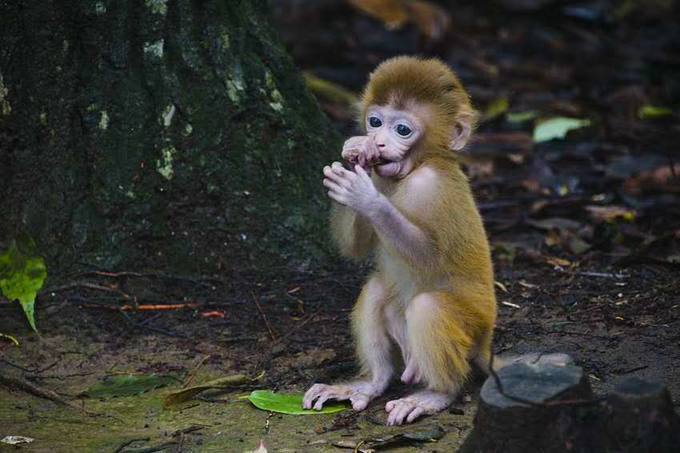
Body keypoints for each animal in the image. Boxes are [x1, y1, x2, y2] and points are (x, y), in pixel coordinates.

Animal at [306, 56, 496, 424]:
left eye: (402, 130)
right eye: (375, 122)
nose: (377, 142)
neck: (416, 166)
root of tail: (487, 345)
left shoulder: (431, 184)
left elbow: (429, 258)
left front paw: (366, 198)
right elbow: (354, 249)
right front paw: (355, 155)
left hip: (474, 330)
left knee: (429, 306)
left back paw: (436, 394)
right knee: (376, 289)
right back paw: (371, 383)